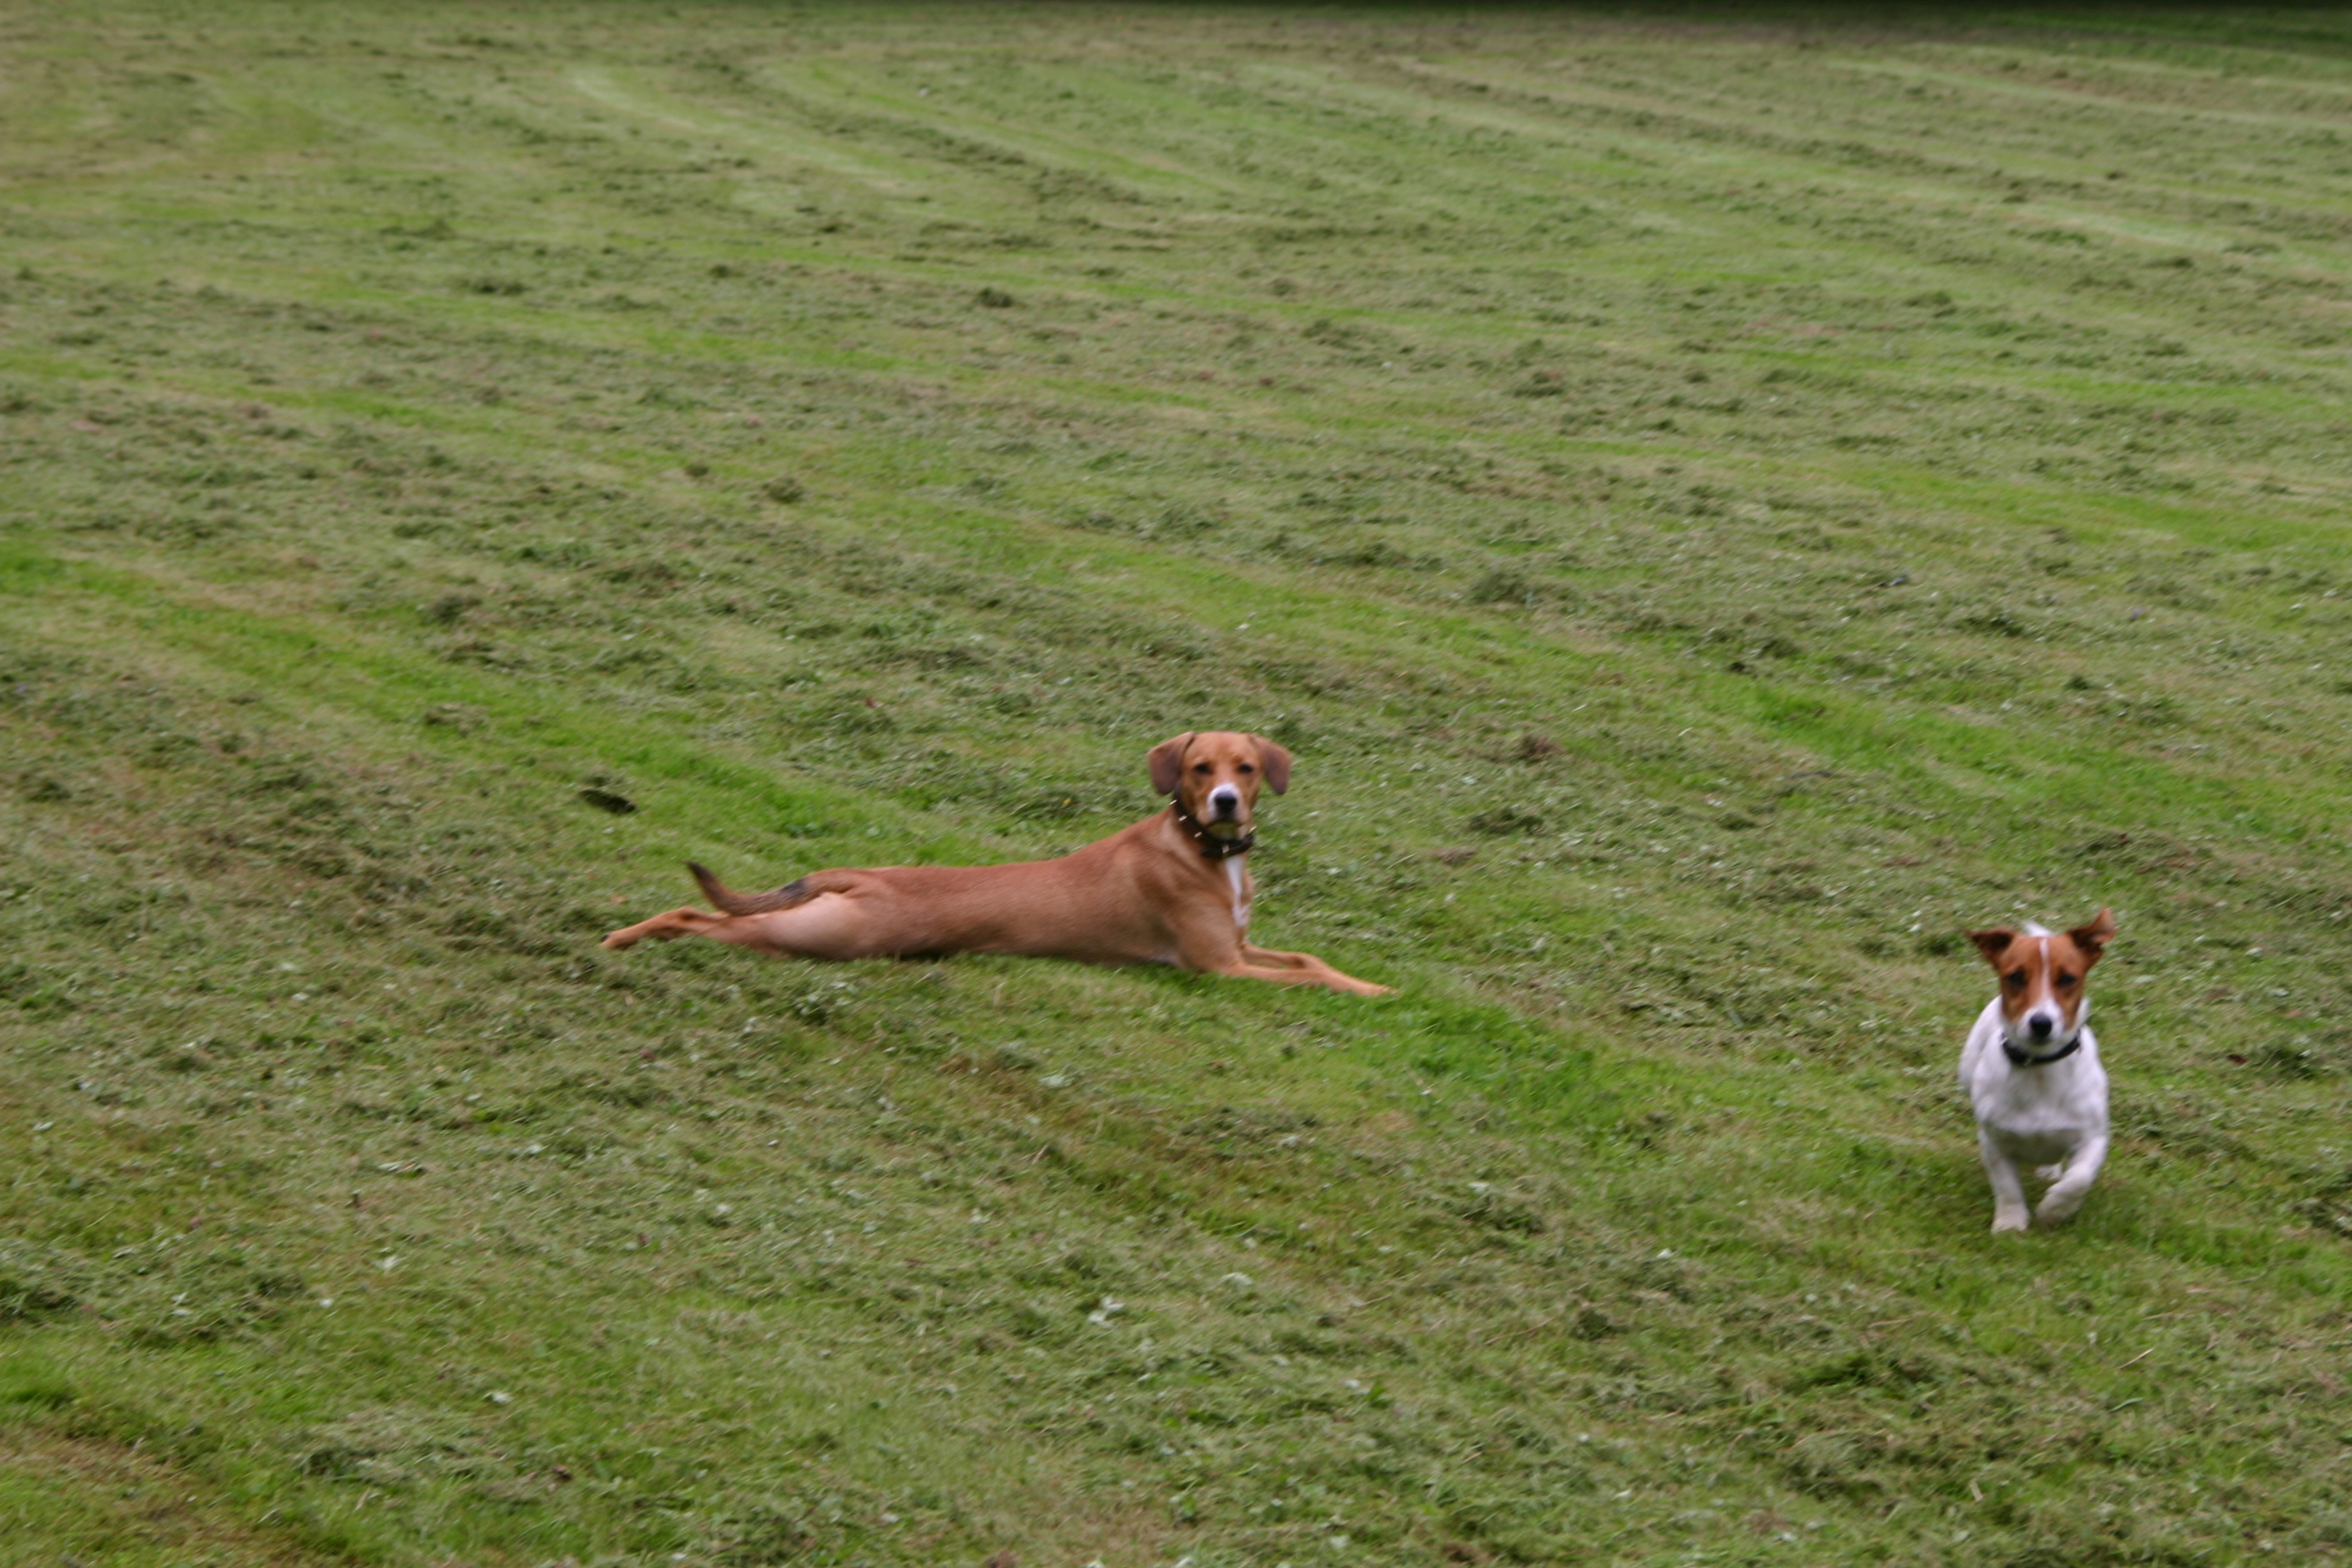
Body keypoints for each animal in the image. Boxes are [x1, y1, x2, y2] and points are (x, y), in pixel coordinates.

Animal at [601, 731, 1390, 996]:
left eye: (1246, 768)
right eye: (1201, 769)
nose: (1226, 802)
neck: (1204, 850)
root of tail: (862, 875)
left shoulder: (1243, 946)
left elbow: (1312, 962)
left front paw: (1373, 983)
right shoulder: (1220, 967)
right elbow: (1310, 983)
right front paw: (1366, 994)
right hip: (820, 938)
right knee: (694, 916)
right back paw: (625, 939)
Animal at [1959, 909, 2116, 1232]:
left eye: (2068, 979)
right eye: (2016, 977)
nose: (2041, 1023)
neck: (2040, 1069)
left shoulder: (2094, 1138)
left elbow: (2079, 1179)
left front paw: (2054, 1209)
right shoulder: (1994, 1142)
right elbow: (2006, 1186)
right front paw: (2010, 1223)